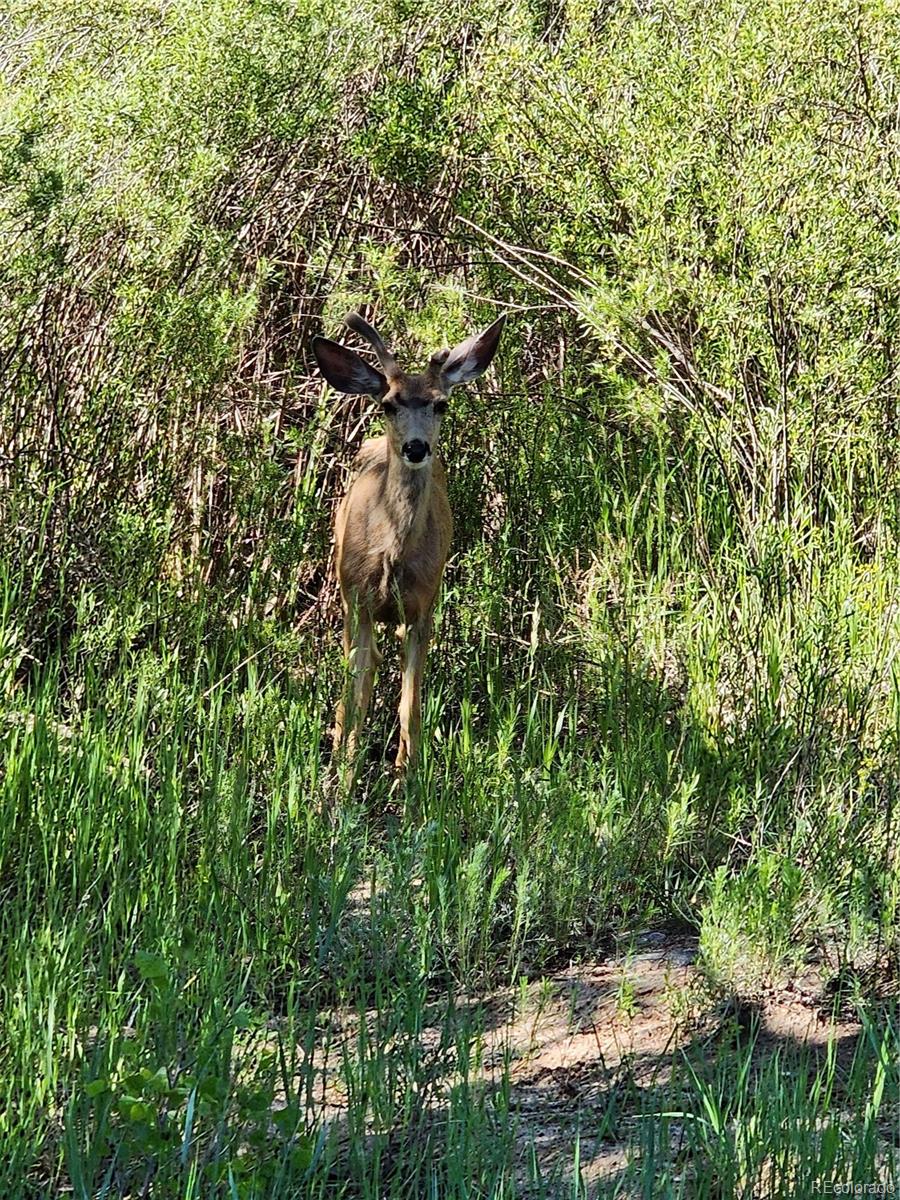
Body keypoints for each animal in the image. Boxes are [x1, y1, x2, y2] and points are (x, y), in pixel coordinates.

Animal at [314, 309, 504, 772]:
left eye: (441, 404)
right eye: (389, 404)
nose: (416, 448)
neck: (392, 556)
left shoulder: (422, 607)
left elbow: (410, 704)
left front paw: (407, 776)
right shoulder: (357, 602)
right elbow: (353, 697)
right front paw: (340, 777)